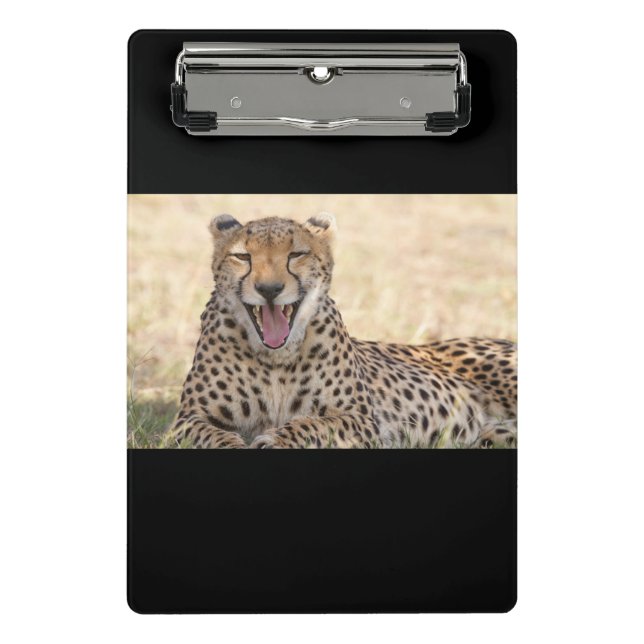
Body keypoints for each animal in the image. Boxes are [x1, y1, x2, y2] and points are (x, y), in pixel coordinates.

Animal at [164, 212, 517, 449]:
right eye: (242, 256)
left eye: (296, 254)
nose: (269, 289)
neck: (276, 359)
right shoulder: (188, 419)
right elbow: (213, 434)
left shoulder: (361, 420)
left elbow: (311, 424)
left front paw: (275, 439)